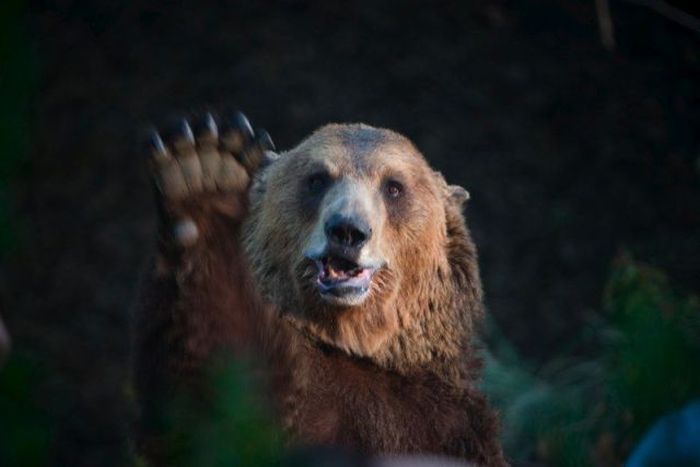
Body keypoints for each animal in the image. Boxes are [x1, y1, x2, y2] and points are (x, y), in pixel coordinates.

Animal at [130, 113, 504, 467]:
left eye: (394, 186)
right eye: (317, 178)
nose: (347, 230)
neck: (351, 342)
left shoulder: (449, 423)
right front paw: (207, 173)